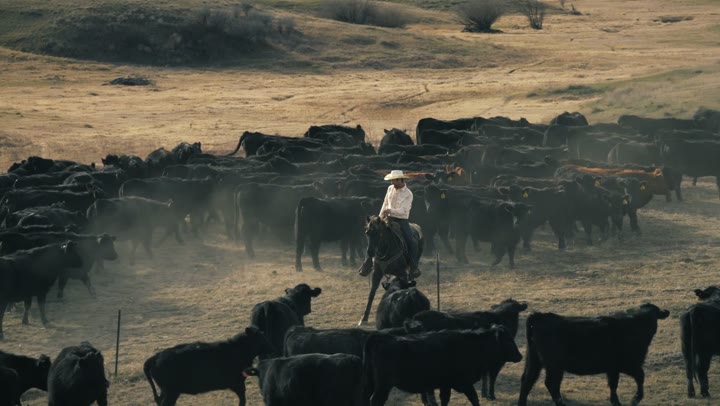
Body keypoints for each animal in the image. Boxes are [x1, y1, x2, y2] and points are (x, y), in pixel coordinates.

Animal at [144, 326, 273, 406]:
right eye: (261, 337)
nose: (271, 348)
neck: (237, 349)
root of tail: (156, 357)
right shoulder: (238, 383)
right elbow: (242, 400)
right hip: (171, 392)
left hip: (166, 391)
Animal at [364, 325, 523, 406]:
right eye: (508, 340)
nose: (520, 356)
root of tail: (380, 337)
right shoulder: (463, 382)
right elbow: (473, 397)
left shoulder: (446, 385)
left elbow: (445, 399)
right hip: (383, 385)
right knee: (376, 400)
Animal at [518, 303, 670, 406]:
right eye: (654, 317)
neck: (634, 326)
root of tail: (540, 316)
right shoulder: (629, 364)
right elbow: (640, 376)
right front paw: (635, 399)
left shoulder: (613, 368)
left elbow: (613, 384)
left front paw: (616, 402)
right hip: (554, 366)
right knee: (551, 384)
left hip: (534, 361)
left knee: (527, 380)